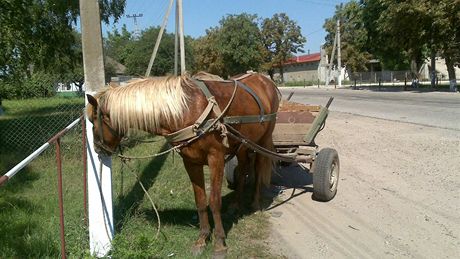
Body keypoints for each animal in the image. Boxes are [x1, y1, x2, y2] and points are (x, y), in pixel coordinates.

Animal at [86, 72, 280, 256]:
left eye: (93, 120)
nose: (97, 149)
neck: (187, 109)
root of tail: (265, 80)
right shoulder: (191, 162)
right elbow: (200, 201)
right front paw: (202, 239)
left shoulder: (216, 158)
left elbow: (214, 201)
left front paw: (219, 243)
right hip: (242, 143)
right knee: (242, 168)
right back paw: (236, 205)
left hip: (263, 139)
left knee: (258, 166)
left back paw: (255, 202)